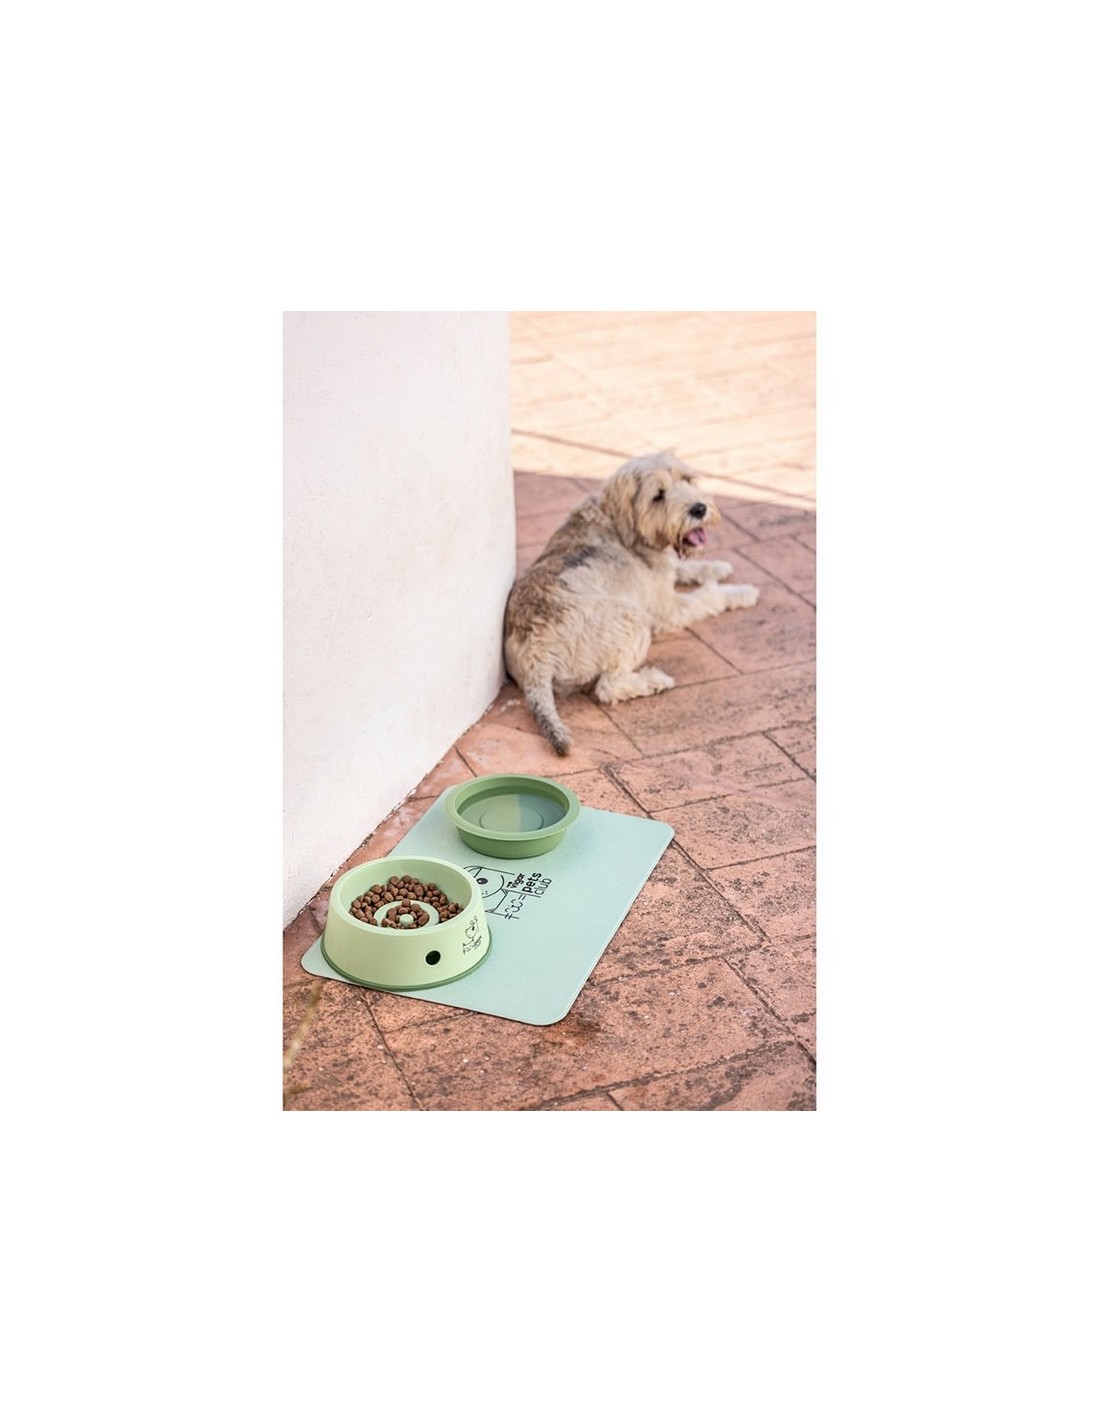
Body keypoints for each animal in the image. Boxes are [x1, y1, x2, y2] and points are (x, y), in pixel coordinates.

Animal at [504, 451, 759, 755]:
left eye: (686, 479)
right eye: (658, 496)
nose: (699, 509)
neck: (618, 521)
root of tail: (534, 658)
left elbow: (681, 568)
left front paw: (717, 567)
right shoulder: (669, 609)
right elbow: (709, 596)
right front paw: (742, 592)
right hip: (632, 621)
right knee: (609, 686)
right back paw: (653, 681)